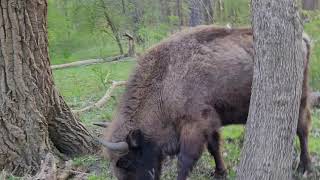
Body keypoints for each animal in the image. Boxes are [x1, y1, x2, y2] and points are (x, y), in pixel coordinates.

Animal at [99, 25, 310, 180]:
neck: (164, 81)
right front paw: (220, 172)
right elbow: (214, 147)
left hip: (300, 99)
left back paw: (304, 167)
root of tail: (303, 37)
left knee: (302, 129)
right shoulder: (210, 122)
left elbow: (185, 160)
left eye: (126, 162)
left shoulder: (195, 124)